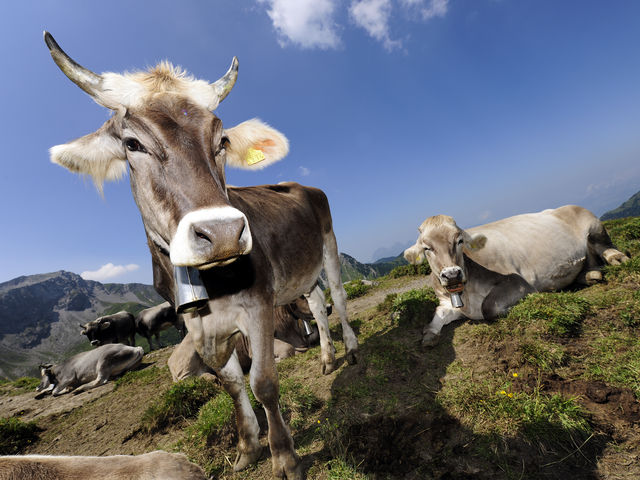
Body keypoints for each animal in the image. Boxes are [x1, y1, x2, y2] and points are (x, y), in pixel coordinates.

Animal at [43, 31, 360, 478]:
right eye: (132, 144)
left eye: (222, 140)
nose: (223, 233)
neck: (212, 284)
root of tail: (297, 184)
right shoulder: (194, 323)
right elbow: (231, 383)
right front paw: (247, 449)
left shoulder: (258, 306)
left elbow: (263, 382)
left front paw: (284, 457)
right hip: (301, 271)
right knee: (316, 302)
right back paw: (328, 359)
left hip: (330, 245)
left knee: (340, 299)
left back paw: (351, 350)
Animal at [404, 204, 632, 346]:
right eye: (427, 248)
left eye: (459, 240)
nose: (451, 274)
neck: (467, 296)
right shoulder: (446, 302)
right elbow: (435, 318)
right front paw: (429, 335)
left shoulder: (518, 282)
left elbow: (489, 308)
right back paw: (591, 274)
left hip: (594, 226)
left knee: (605, 247)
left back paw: (617, 258)